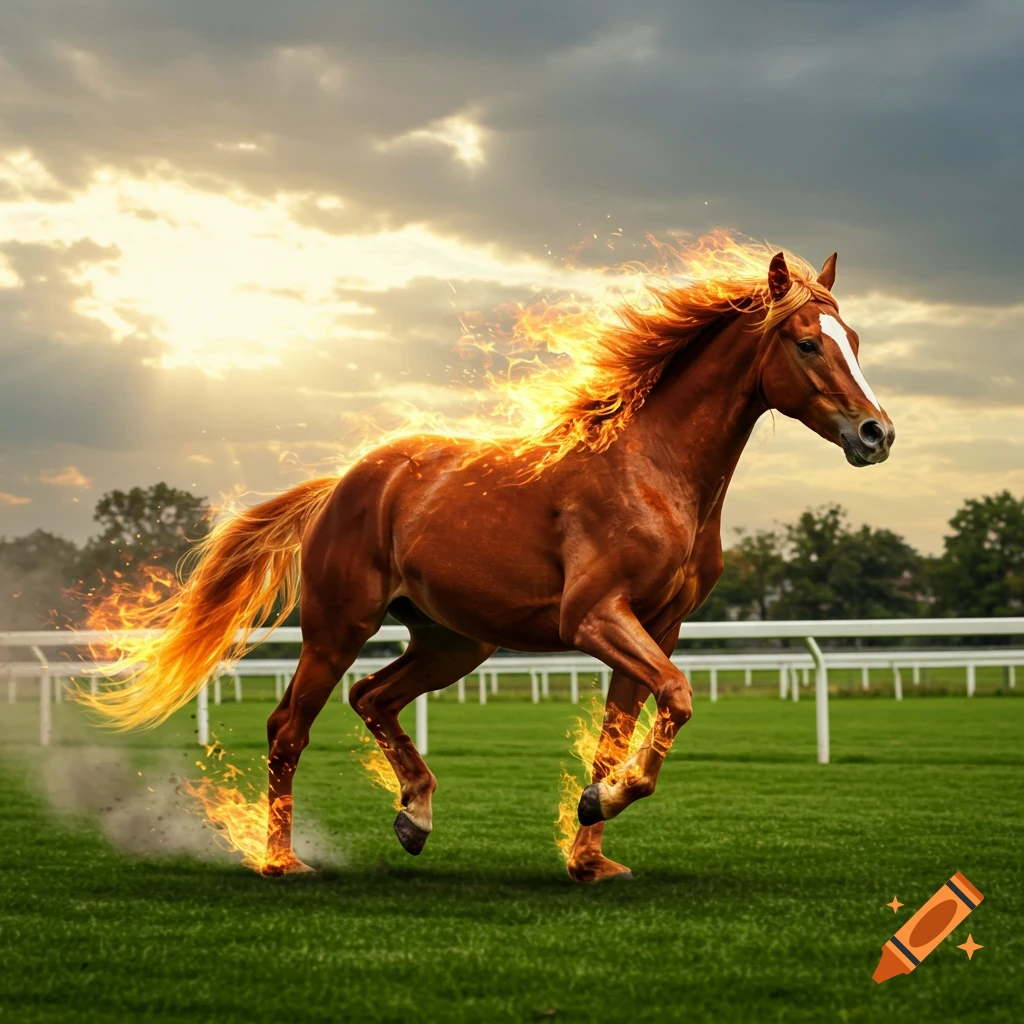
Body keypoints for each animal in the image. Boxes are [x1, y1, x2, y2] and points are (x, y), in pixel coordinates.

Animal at [82, 242, 894, 882]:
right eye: (807, 342)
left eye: (852, 336)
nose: (876, 433)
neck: (654, 472)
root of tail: (342, 483)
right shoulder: (595, 617)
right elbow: (679, 698)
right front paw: (597, 810)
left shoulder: (657, 628)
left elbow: (621, 734)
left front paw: (590, 854)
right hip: (338, 627)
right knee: (290, 726)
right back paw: (281, 860)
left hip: (453, 641)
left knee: (372, 696)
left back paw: (414, 818)